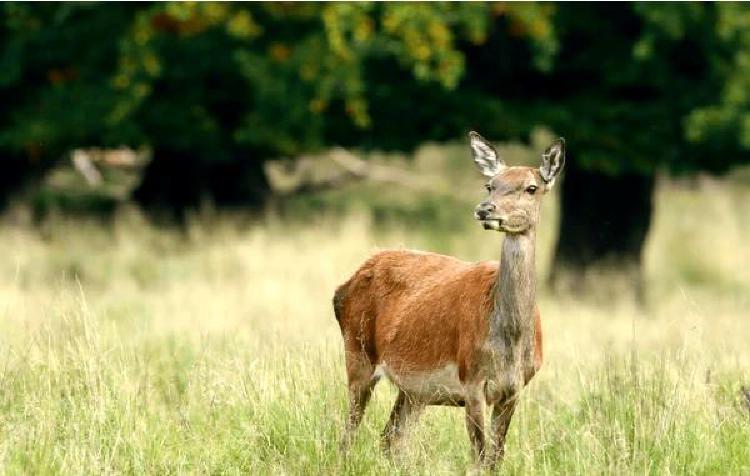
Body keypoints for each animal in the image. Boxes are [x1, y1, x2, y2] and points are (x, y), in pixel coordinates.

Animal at [332, 132, 568, 466]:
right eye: (490, 184)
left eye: (531, 188)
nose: (485, 209)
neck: (509, 344)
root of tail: (341, 289)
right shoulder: (471, 379)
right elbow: (480, 455)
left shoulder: (516, 387)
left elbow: (496, 456)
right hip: (358, 352)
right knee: (349, 433)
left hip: (414, 390)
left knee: (390, 437)